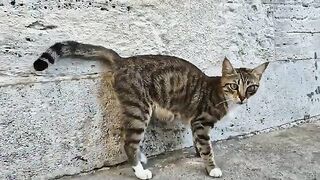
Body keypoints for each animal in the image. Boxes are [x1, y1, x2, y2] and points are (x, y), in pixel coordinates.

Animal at [33, 41, 268, 179]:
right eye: (234, 86)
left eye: (251, 87)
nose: (242, 97)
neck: (220, 93)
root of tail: (123, 60)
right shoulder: (201, 122)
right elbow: (207, 148)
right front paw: (211, 168)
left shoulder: (195, 124)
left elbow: (199, 144)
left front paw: (197, 153)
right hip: (139, 109)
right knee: (129, 143)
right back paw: (140, 170)